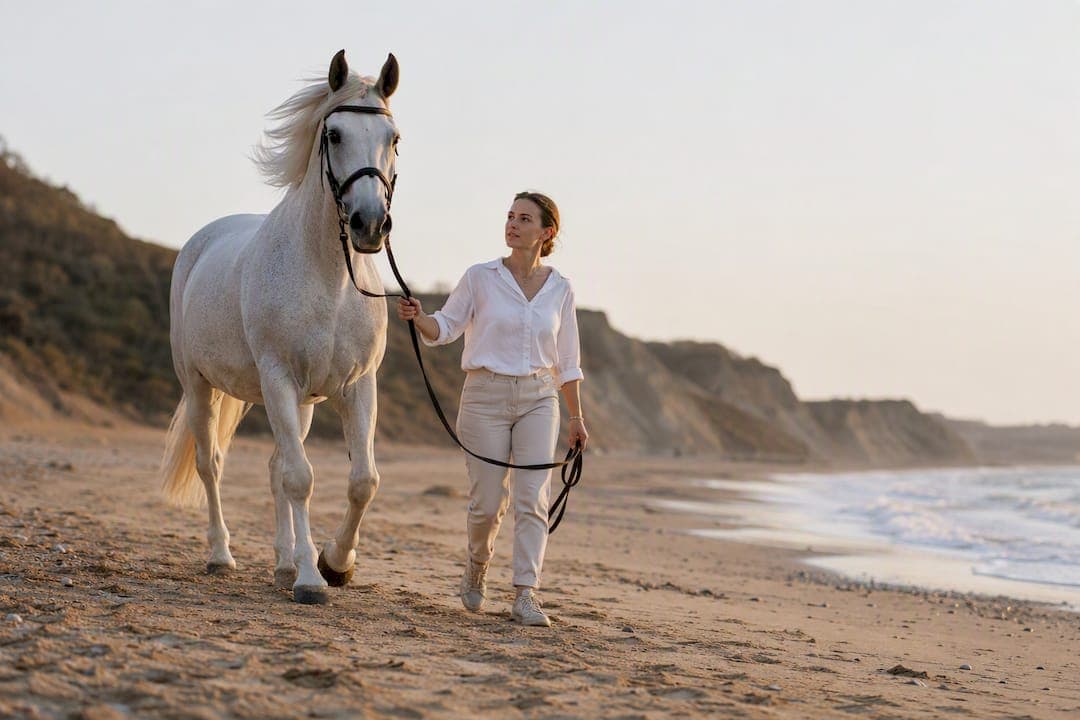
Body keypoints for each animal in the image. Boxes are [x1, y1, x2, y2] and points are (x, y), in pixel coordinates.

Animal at [160, 50, 400, 604]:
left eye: (394, 137)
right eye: (333, 134)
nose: (370, 224)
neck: (330, 279)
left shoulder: (357, 386)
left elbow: (362, 481)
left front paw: (335, 563)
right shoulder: (278, 378)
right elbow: (300, 479)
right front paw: (314, 580)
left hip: (295, 402)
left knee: (273, 468)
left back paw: (284, 563)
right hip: (201, 387)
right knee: (212, 464)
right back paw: (221, 556)